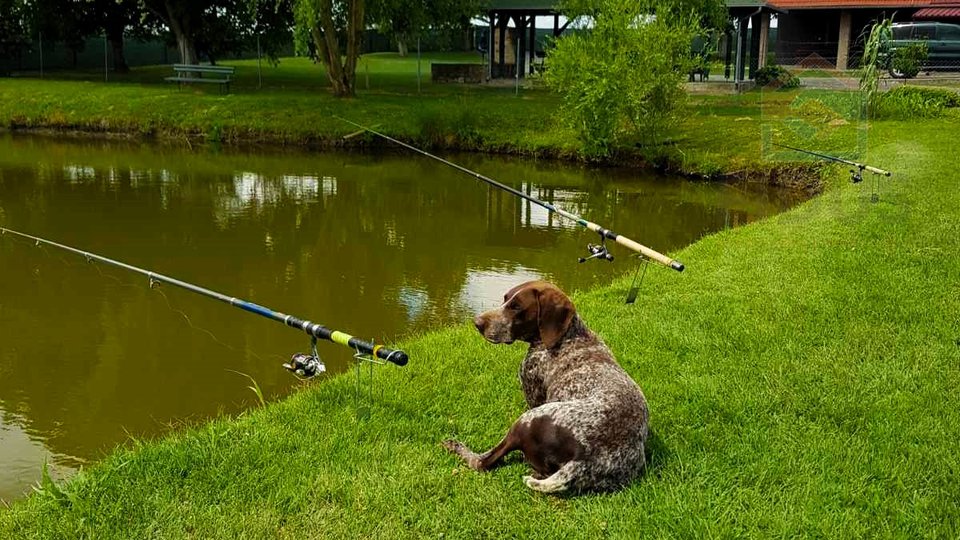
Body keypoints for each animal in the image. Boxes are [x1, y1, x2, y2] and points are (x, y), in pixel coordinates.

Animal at [444, 280, 652, 496]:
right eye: (505, 299)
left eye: (516, 307)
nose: (477, 323)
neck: (568, 336)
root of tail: (581, 462)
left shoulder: (532, 389)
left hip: (527, 419)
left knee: (483, 462)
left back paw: (456, 446)